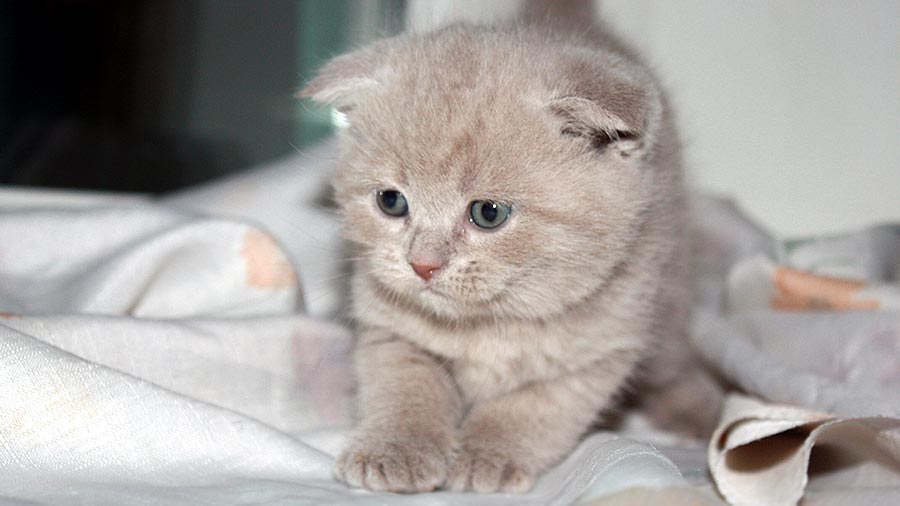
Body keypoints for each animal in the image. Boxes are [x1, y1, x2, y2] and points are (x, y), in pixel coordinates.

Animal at [302, 0, 724, 494]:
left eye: (488, 213)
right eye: (391, 202)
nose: (422, 264)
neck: (489, 325)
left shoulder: (599, 349)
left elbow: (530, 408)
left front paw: (489, 454)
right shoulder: (390, 328)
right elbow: (405, 387)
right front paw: (395, 449)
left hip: (669, 293)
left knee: (672, 363)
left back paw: (700, 413)